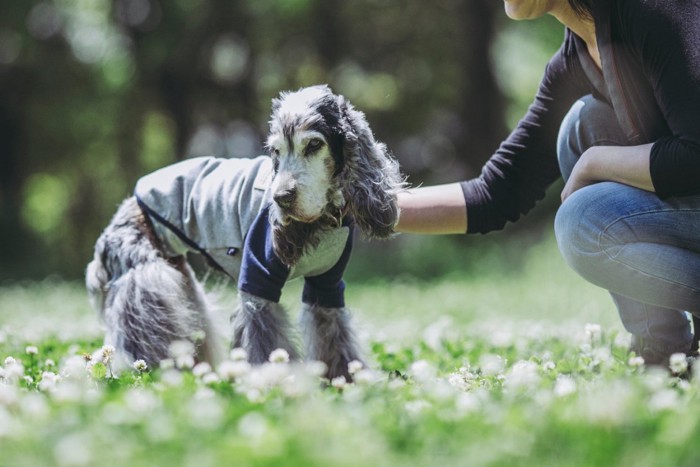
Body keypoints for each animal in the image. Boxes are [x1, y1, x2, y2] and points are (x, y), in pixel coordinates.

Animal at [85, 86, 404, 382]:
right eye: (276, 151)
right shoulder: (258, 282)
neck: (322, 220)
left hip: (183, 288)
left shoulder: (327, 287)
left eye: (314, 144)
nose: (281, 198)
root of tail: (120, 215)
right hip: (148, 286)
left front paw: (347, 381)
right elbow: (265, 344)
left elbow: (336, 338)